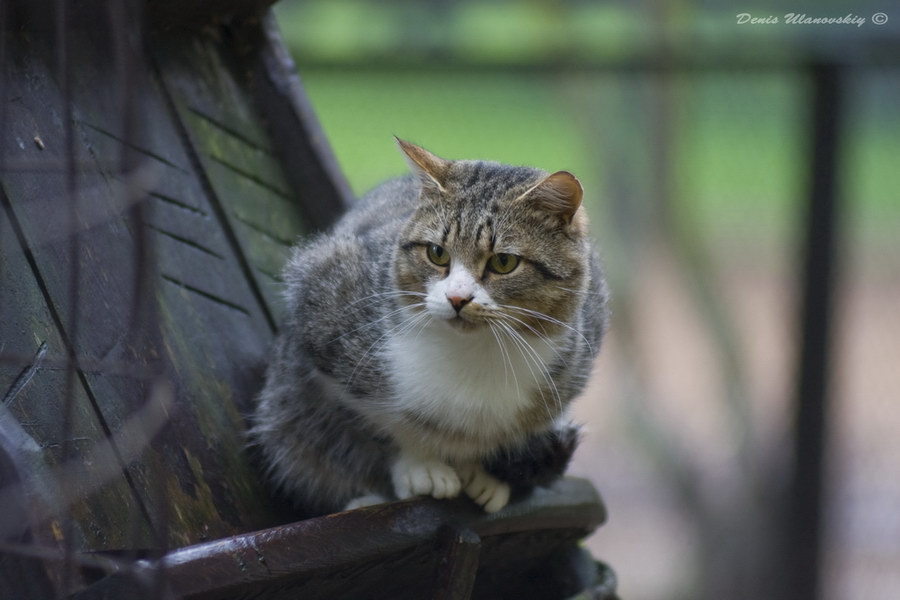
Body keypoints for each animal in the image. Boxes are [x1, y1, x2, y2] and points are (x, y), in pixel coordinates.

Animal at [250, 138, 608, 512]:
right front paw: (419, 465)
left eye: (504, 262)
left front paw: (487, 476)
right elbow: (372, 426)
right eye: (437, 253)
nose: (457, 298)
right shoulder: (320, 298)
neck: (473, 354)